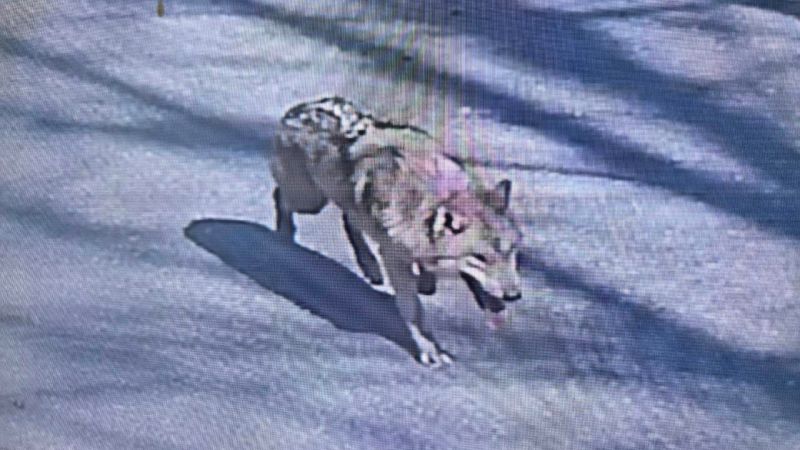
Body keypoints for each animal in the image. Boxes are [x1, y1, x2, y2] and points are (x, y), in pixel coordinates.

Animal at [270, 97, 522, 367]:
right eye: (481, 258)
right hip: (309, 201)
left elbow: (426, 278)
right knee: (281, 196)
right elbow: (413, 311)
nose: (514, 296)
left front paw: (426, 280)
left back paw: (370, 266)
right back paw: (284, 236)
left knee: (349, 219)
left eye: (511, 252)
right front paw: (431, 350)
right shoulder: (395, 258)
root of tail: (299, 108)